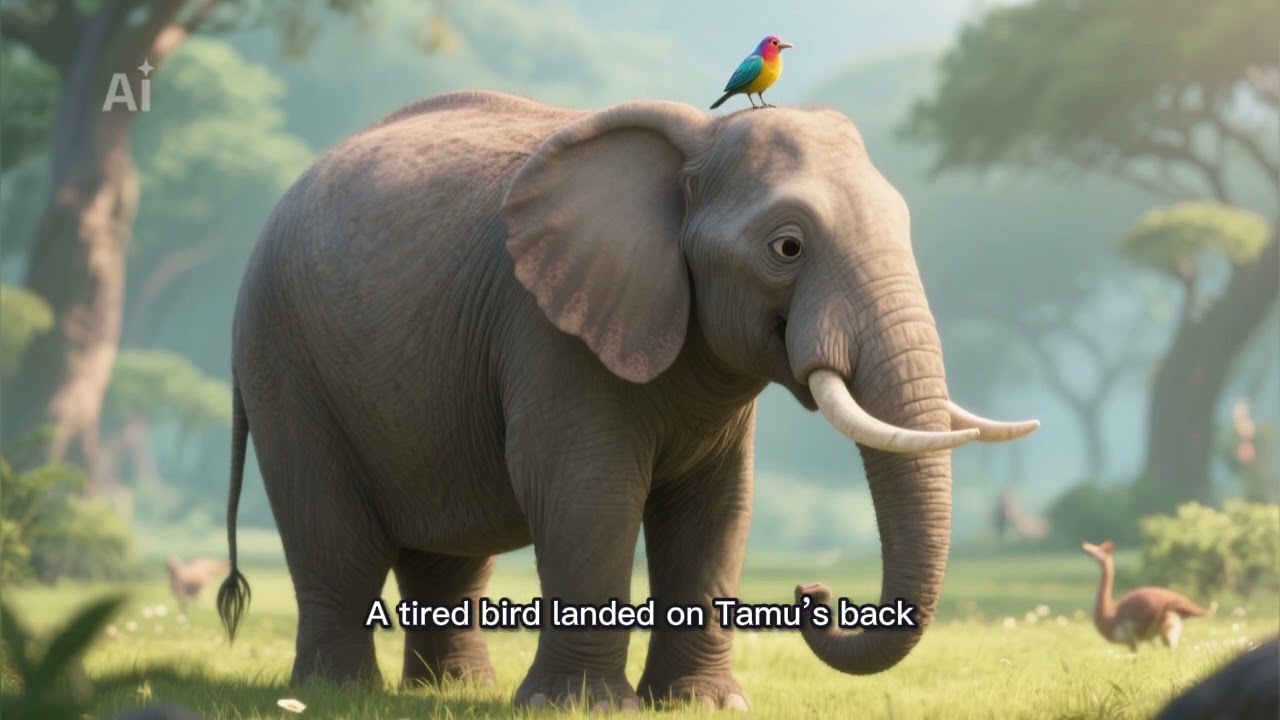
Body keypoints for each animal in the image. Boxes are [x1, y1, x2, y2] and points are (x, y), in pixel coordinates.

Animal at [216, 90, 1039, 711]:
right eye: (787, 248)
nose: (814, 592)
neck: (697, 140)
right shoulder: (552, 334)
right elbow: (587, 491)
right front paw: (580, 707)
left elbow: (718, 506)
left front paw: (704, 706)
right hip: (281, 352)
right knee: (333, 529)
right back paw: (335, 694)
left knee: (448, 551)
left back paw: (451, 692)